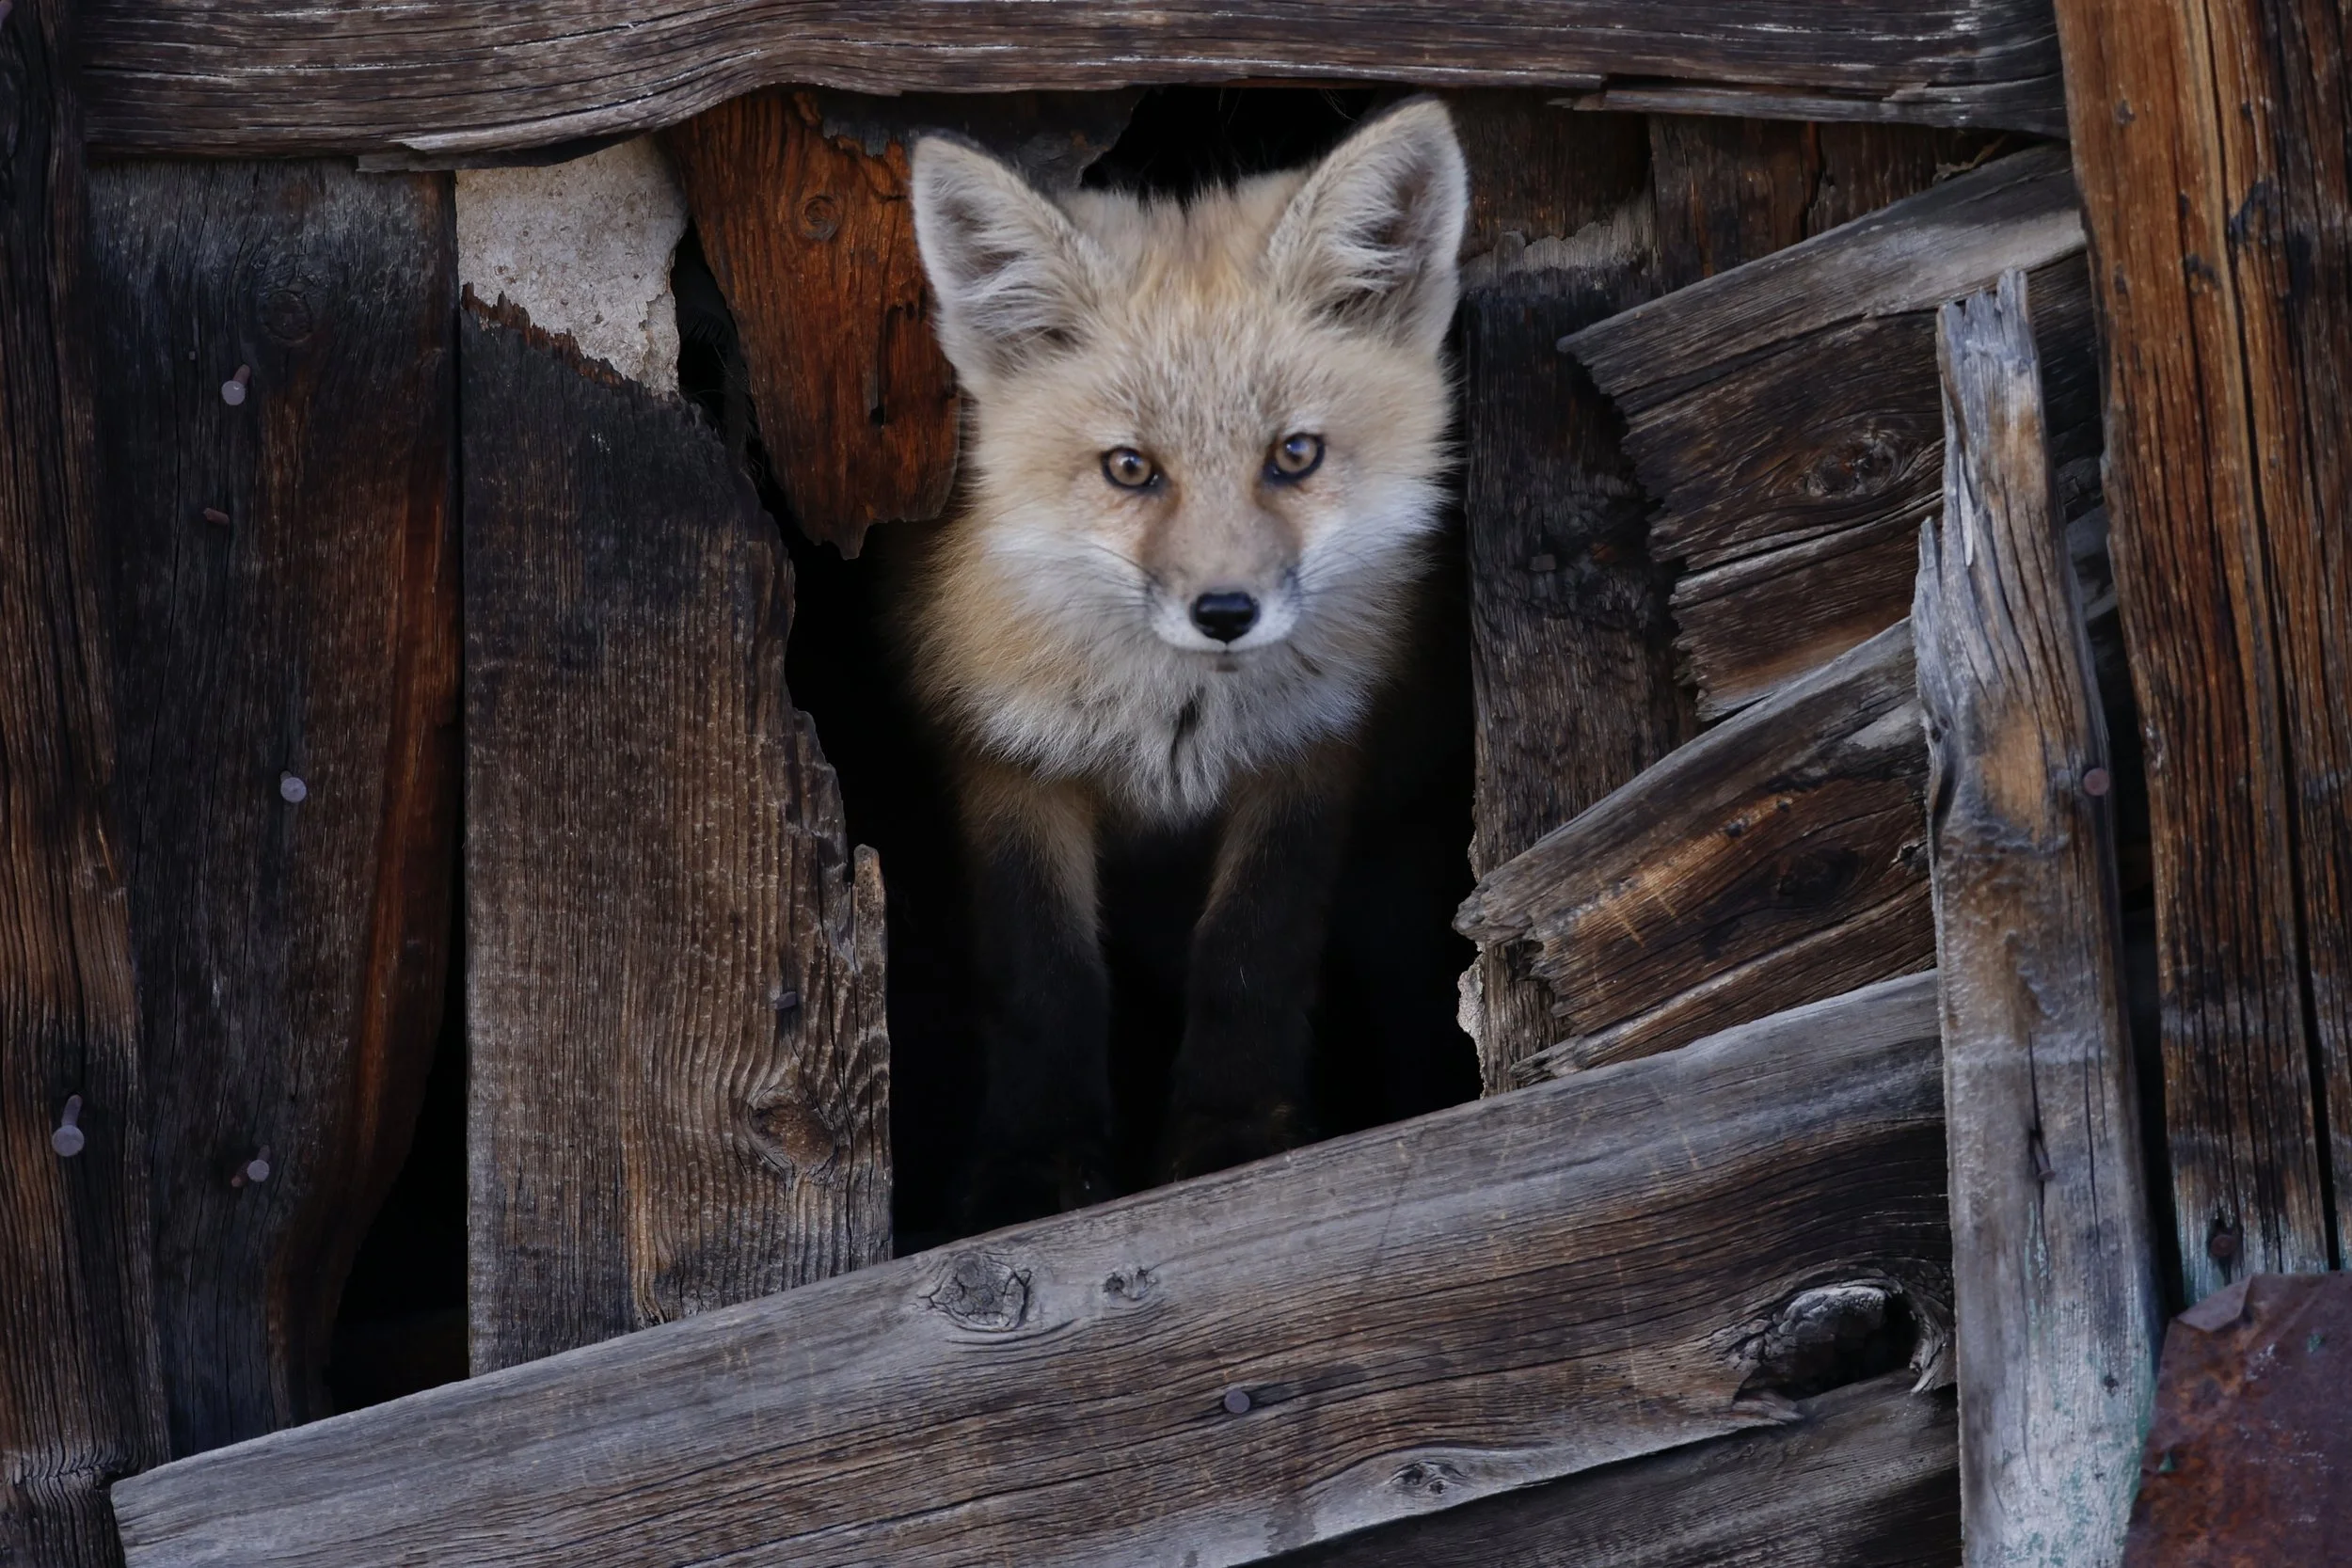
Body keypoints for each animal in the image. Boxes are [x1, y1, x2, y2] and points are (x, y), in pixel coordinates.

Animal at [903, 98, 1469, 1228]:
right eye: (1131, 468)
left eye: (1294, 455)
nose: (1224, 613)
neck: (1172, 721)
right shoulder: (1007, 759)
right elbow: (1042, 977)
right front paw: (1033, 1167)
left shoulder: (1311, 755)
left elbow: (1252, 949)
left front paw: (1232, 1137)